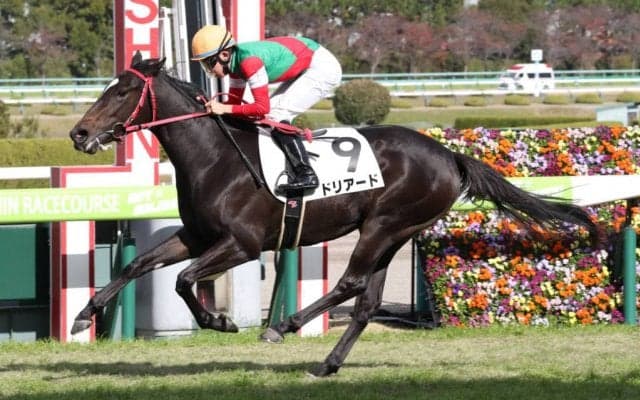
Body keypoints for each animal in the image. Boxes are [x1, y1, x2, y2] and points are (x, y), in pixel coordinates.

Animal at [69, 53, 600, 377]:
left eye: (121, 92)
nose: (79, 134)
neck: (215, 156)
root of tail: (449, 155)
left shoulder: (242, 243)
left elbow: (182, 280)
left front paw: (221, 321)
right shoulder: (199, 236)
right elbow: (139, 264)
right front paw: (83, 315)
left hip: (383, 225)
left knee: (350, 284)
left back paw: (281, 327)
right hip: (395, 232)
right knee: (366, 303)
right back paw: (326, 363)